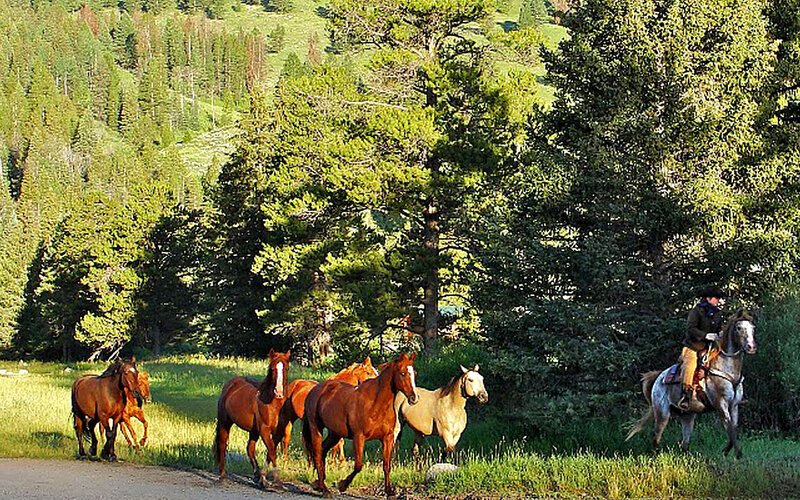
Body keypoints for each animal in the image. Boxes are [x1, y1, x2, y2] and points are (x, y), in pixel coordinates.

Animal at [213, 349, 290, 487]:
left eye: (286, 368)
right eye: (272, 368)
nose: (278, 392)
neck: (273, 404)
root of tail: (231, 384)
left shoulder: (278, 432)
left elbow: (270, 453)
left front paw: (263, 478)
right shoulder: (264, 430)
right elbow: (272, 451)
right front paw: (276, 480)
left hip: (253, 431)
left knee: (250, 449)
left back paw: (256, 475)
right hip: (225, 422)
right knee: (222, 444)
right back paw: (222, 476)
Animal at [303, 352, 419, 499]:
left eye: (414, 373)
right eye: (403, 373)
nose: (414, 398)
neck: (375, 404)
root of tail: (314, 390)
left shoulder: (387, 438)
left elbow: (387, 465)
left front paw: (389, 492)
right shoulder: (359, 437)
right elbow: (358, 465)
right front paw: (342, 485)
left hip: (335, 434)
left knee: (323, 450)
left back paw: (319, 483)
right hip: (315, 428)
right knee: (317, 454)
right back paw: (325, 489)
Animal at [626, 310, 757, 458]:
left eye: (753, 328)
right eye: (739, 328)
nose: (751, 347)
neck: (727, 369)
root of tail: (659, 378)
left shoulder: (734, 406)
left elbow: (733, 430)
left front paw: (725, 452)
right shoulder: (720, 404)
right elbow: (730, 430)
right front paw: (738, 454)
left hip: (687, 416)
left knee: (685, 444)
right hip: (662, 414)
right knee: (656, 439)